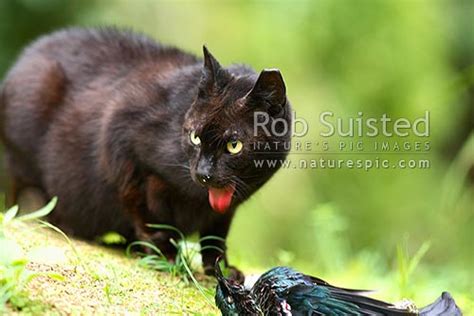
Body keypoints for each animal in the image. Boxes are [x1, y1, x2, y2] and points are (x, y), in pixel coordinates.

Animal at [0, 28, 290, 278]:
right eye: (195, 137)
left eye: (234, 145)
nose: (204, 174)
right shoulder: (122, 139)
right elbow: (144, 208)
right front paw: (165, 254)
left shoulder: (226, 210)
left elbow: (216, 234)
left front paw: (220, 269)